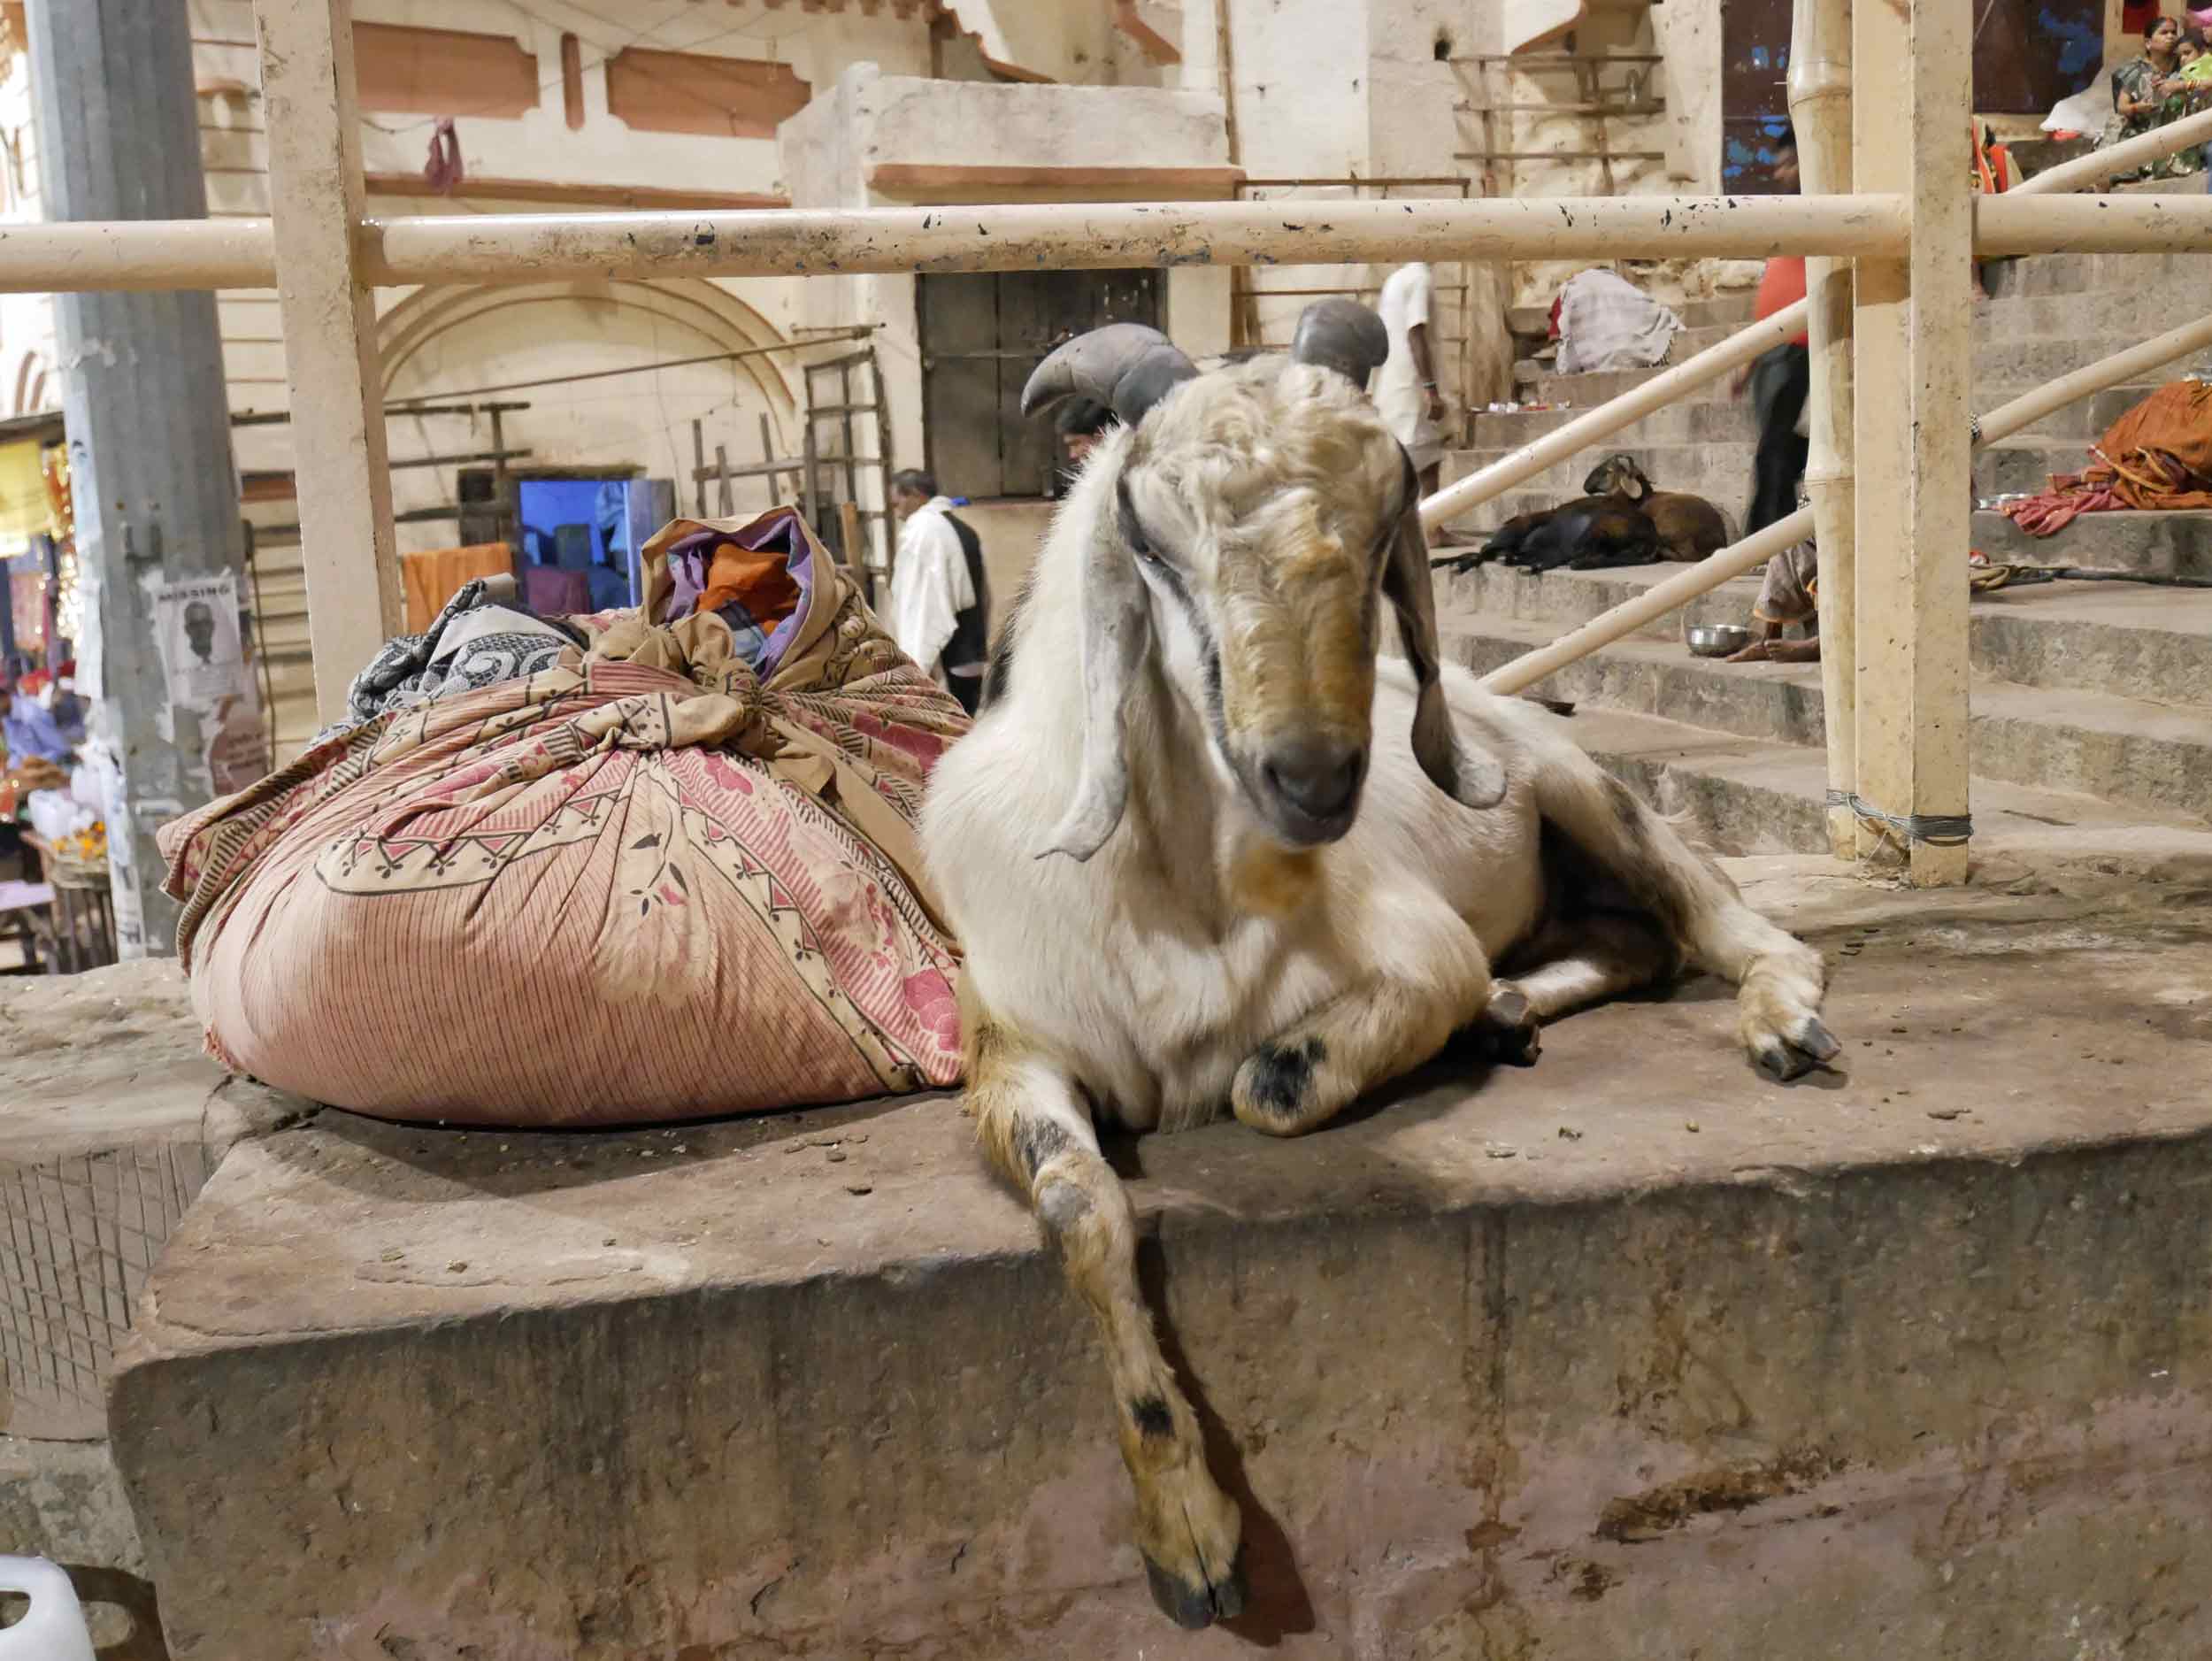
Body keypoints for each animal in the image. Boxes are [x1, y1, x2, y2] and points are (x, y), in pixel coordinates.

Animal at [907, 304, 1840, 1627]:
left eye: (1384, 513)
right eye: (1151, 532)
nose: (1313, 774)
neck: (1179, 902)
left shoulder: (1418, 951)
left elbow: (1264, 1082)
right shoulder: (1016, 1041)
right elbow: (1075, 1200)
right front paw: (1188, 1535)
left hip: (1582, 793)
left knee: (1722, 926)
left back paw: (1777, 1025)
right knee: (1634, 942)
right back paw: (1511, 1010)